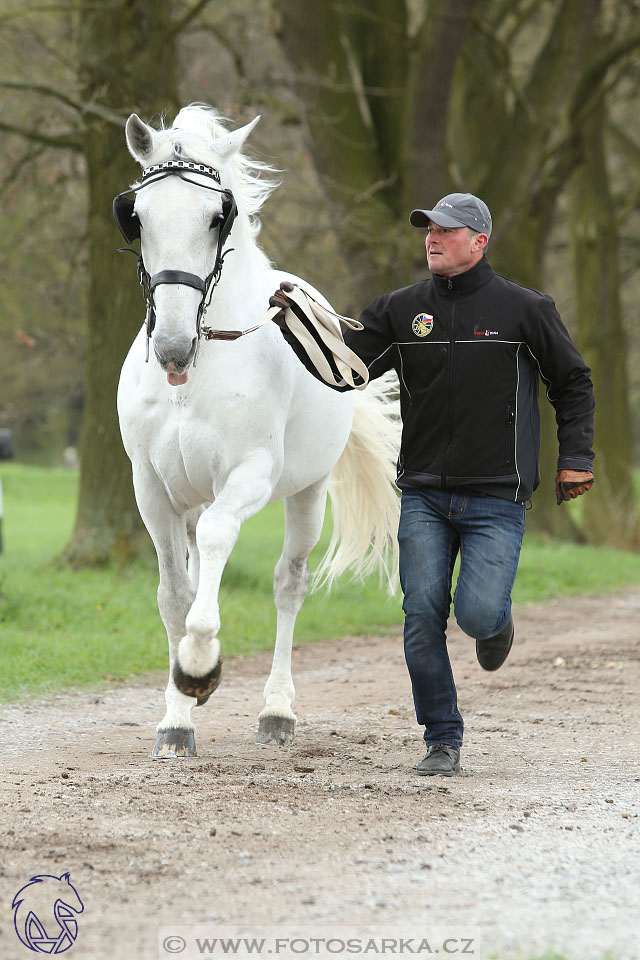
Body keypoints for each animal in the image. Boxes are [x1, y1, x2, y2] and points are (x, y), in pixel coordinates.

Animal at [114, 105, 400, 756]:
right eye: (137, 216)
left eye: (217, 217)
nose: (171, 346)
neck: (196, 373)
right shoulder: (152, 489)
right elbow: (175, 594)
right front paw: (177, 716)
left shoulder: (250, 475)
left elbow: (221, 541)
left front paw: (200, 665)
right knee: (200, 570)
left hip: (307, 494)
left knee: (288, 584)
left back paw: (277, 711)